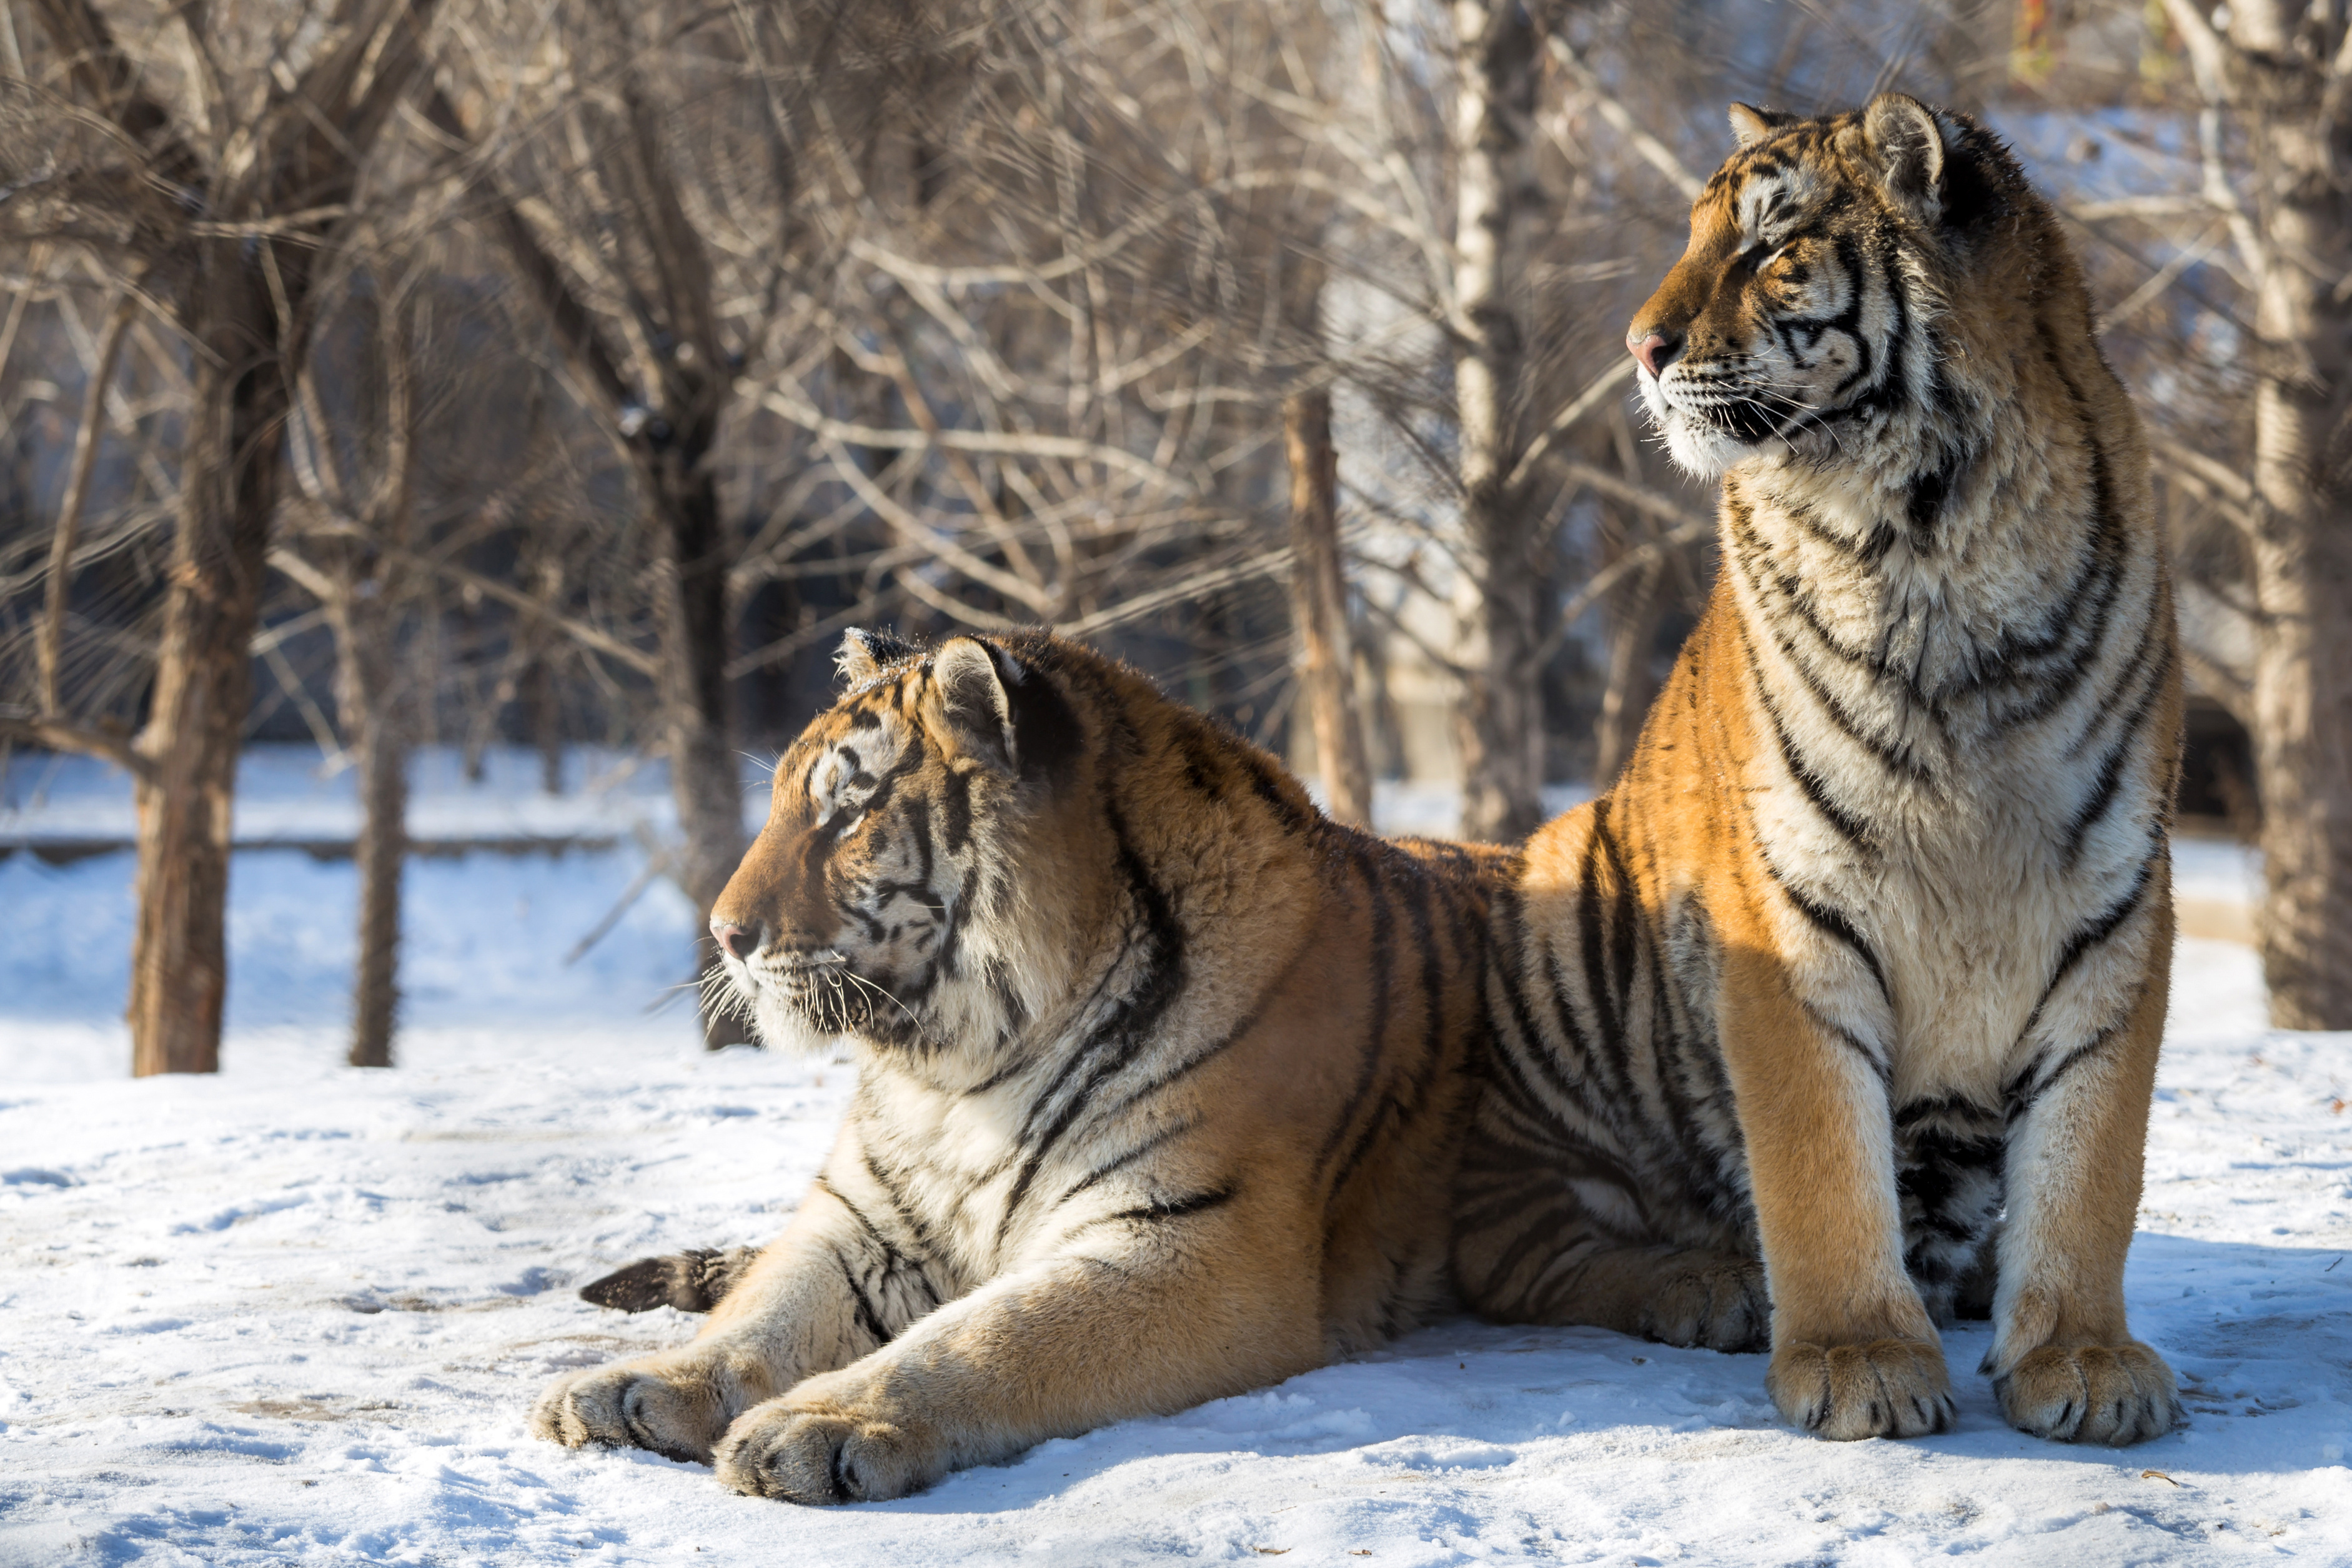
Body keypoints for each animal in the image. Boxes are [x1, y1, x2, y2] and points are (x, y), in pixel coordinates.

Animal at [529, 630, 1505, 1504]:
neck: (963, 1075)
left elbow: (985, 1334)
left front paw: (814, 1424)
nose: (724, 934)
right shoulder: (864, 1225)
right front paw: (638, 1386)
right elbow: (762, 1313)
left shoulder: (1196, 1241)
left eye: (848, 814)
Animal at [1449, 95, 2182, 1448]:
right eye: (1694, 235)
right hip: (1562, 893)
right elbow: (1818, 1159)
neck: (1934, 539)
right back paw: (1706, 1284)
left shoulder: (2114, 900)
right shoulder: (1785, 907)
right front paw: (1857, 1359)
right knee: (1517, 1237)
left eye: (1767, 248)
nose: (1639, 346)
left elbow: (2089, 1159)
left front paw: (2083, 1357)